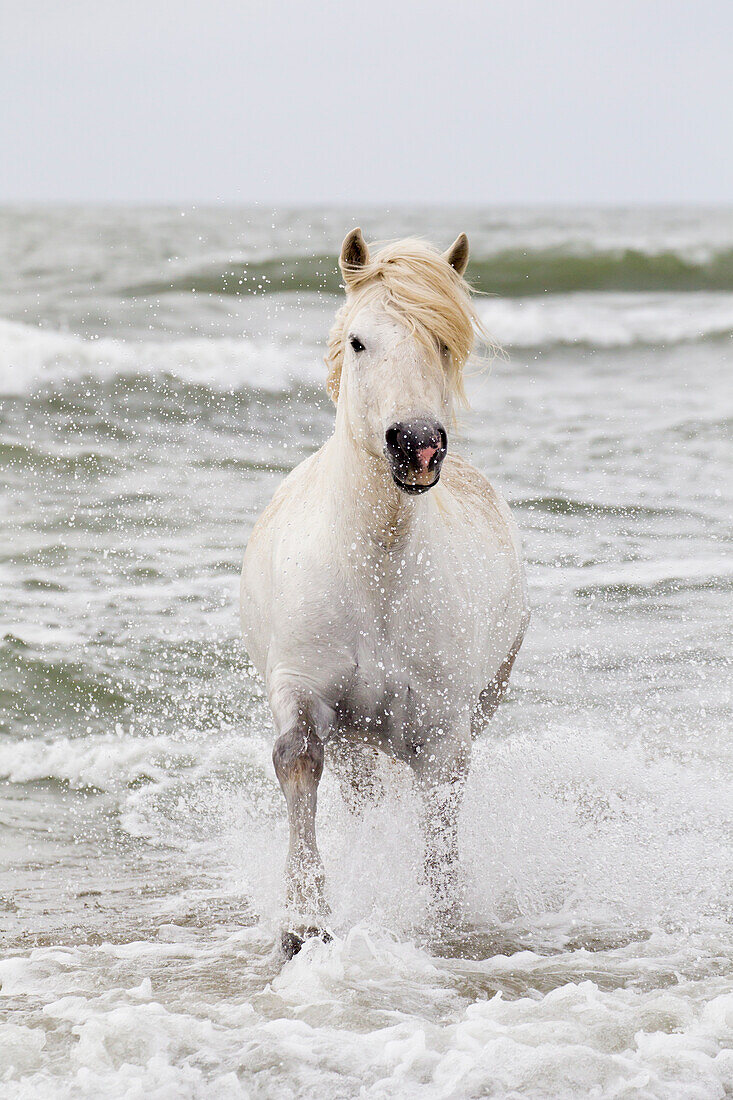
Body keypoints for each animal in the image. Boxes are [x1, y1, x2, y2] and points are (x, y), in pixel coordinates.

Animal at [239, 229, 526, 954]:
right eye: (359, 341)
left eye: (445, 342)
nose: (416, 445)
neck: (375, 573)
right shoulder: (301, 691)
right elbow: (297, 763)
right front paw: (303, 923)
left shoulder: (444, 726)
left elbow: (440, 811)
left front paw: (444, 922)